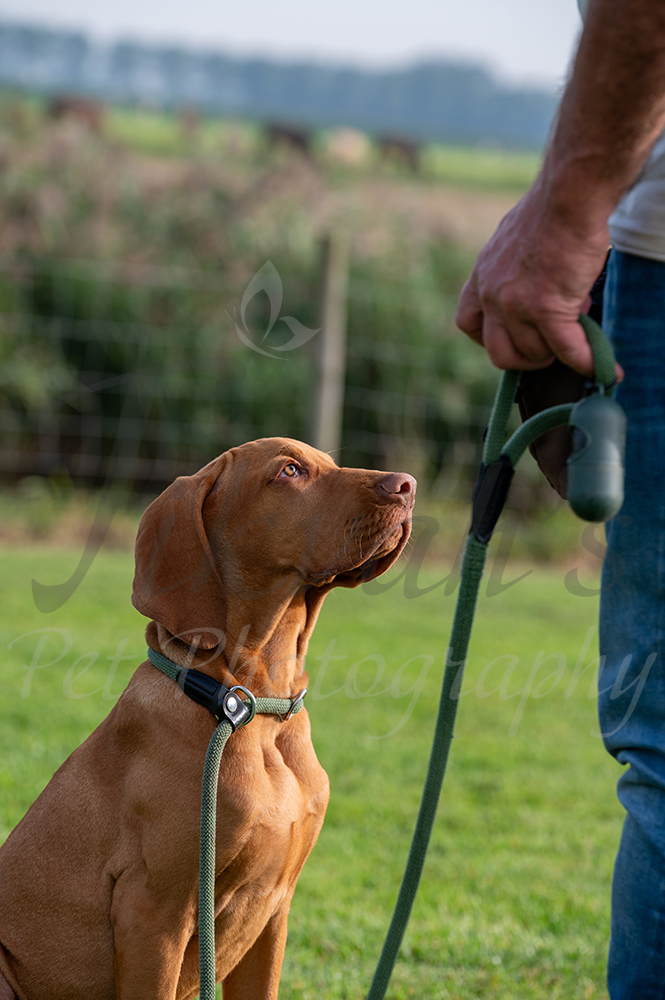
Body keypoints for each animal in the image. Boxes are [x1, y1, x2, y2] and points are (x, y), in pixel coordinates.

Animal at [0, 438, 416, 1000]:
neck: (252, 707)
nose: (407, 485)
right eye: (290, 471)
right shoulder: (154, 911)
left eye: (329, 461)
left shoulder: (275, 910)